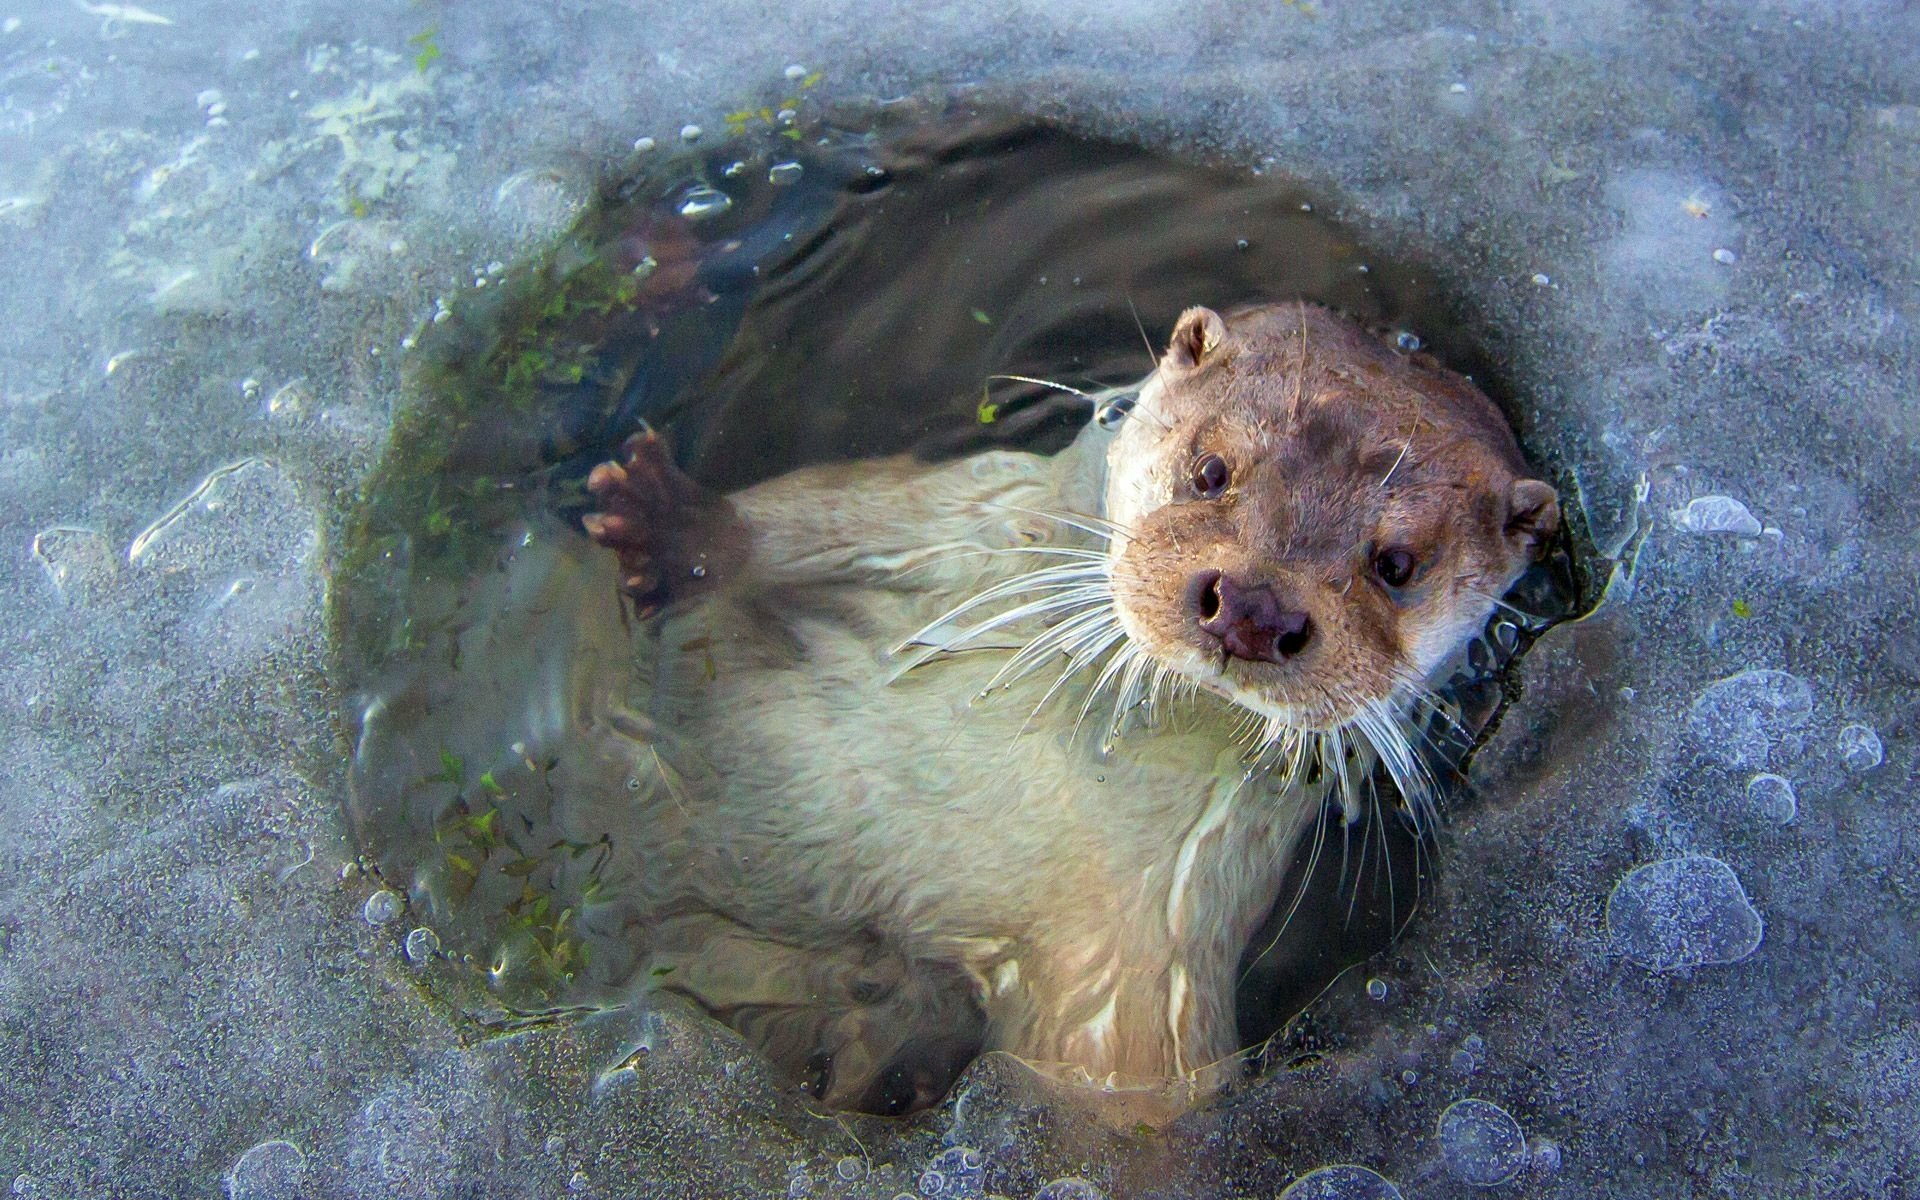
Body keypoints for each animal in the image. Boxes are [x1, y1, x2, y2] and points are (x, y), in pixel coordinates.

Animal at [579, 301, 1559, 1114]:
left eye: (1397, 565)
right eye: (1211, 470)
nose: (1254, 607)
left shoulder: (1152, 955)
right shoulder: (970, 510)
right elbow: (824, 510)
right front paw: (673, 524)